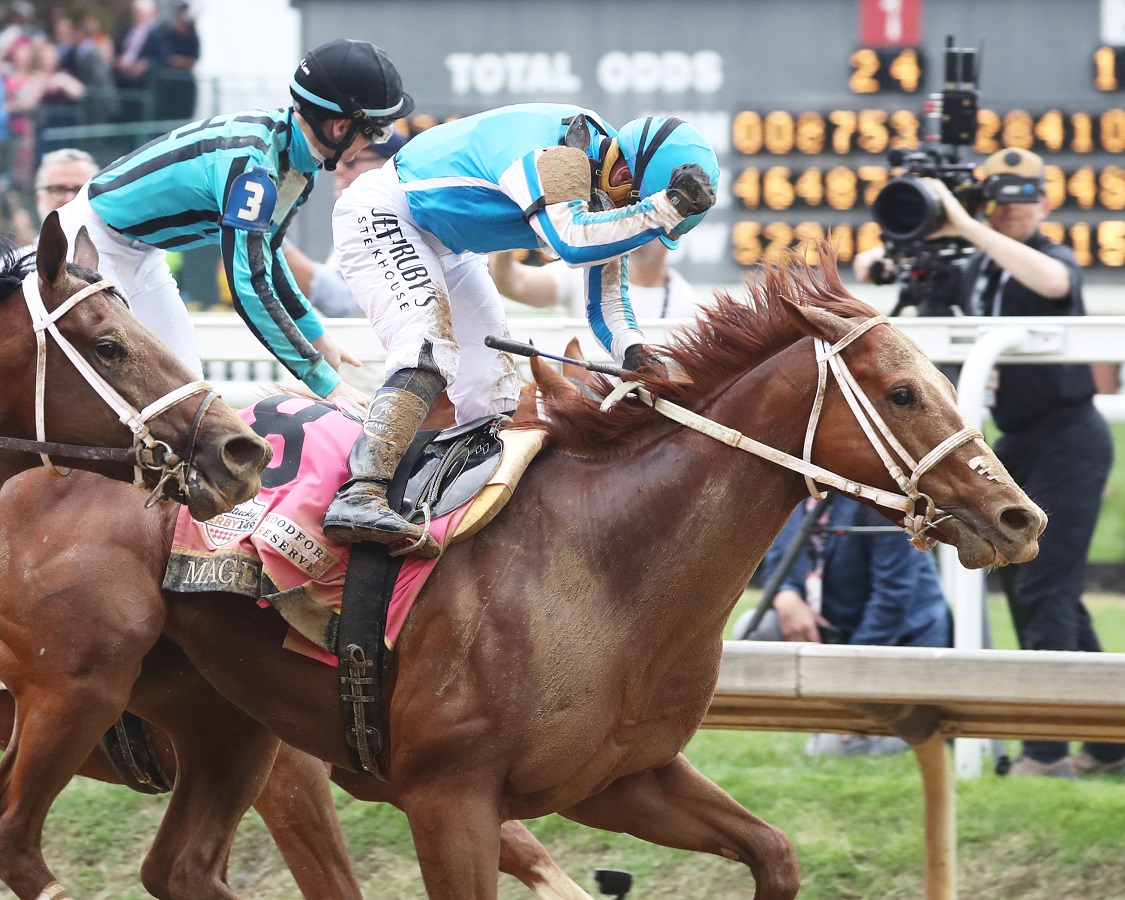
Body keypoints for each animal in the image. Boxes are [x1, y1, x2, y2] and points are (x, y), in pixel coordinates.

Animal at [0, 249, 1044, 895]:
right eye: (903, 391)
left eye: (943, 379)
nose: (1017, 517)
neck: (604, 567)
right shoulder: (443, 797)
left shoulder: (620, 778)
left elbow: (775, 856)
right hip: (78, 688)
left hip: (224, 725)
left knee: (174, 867)